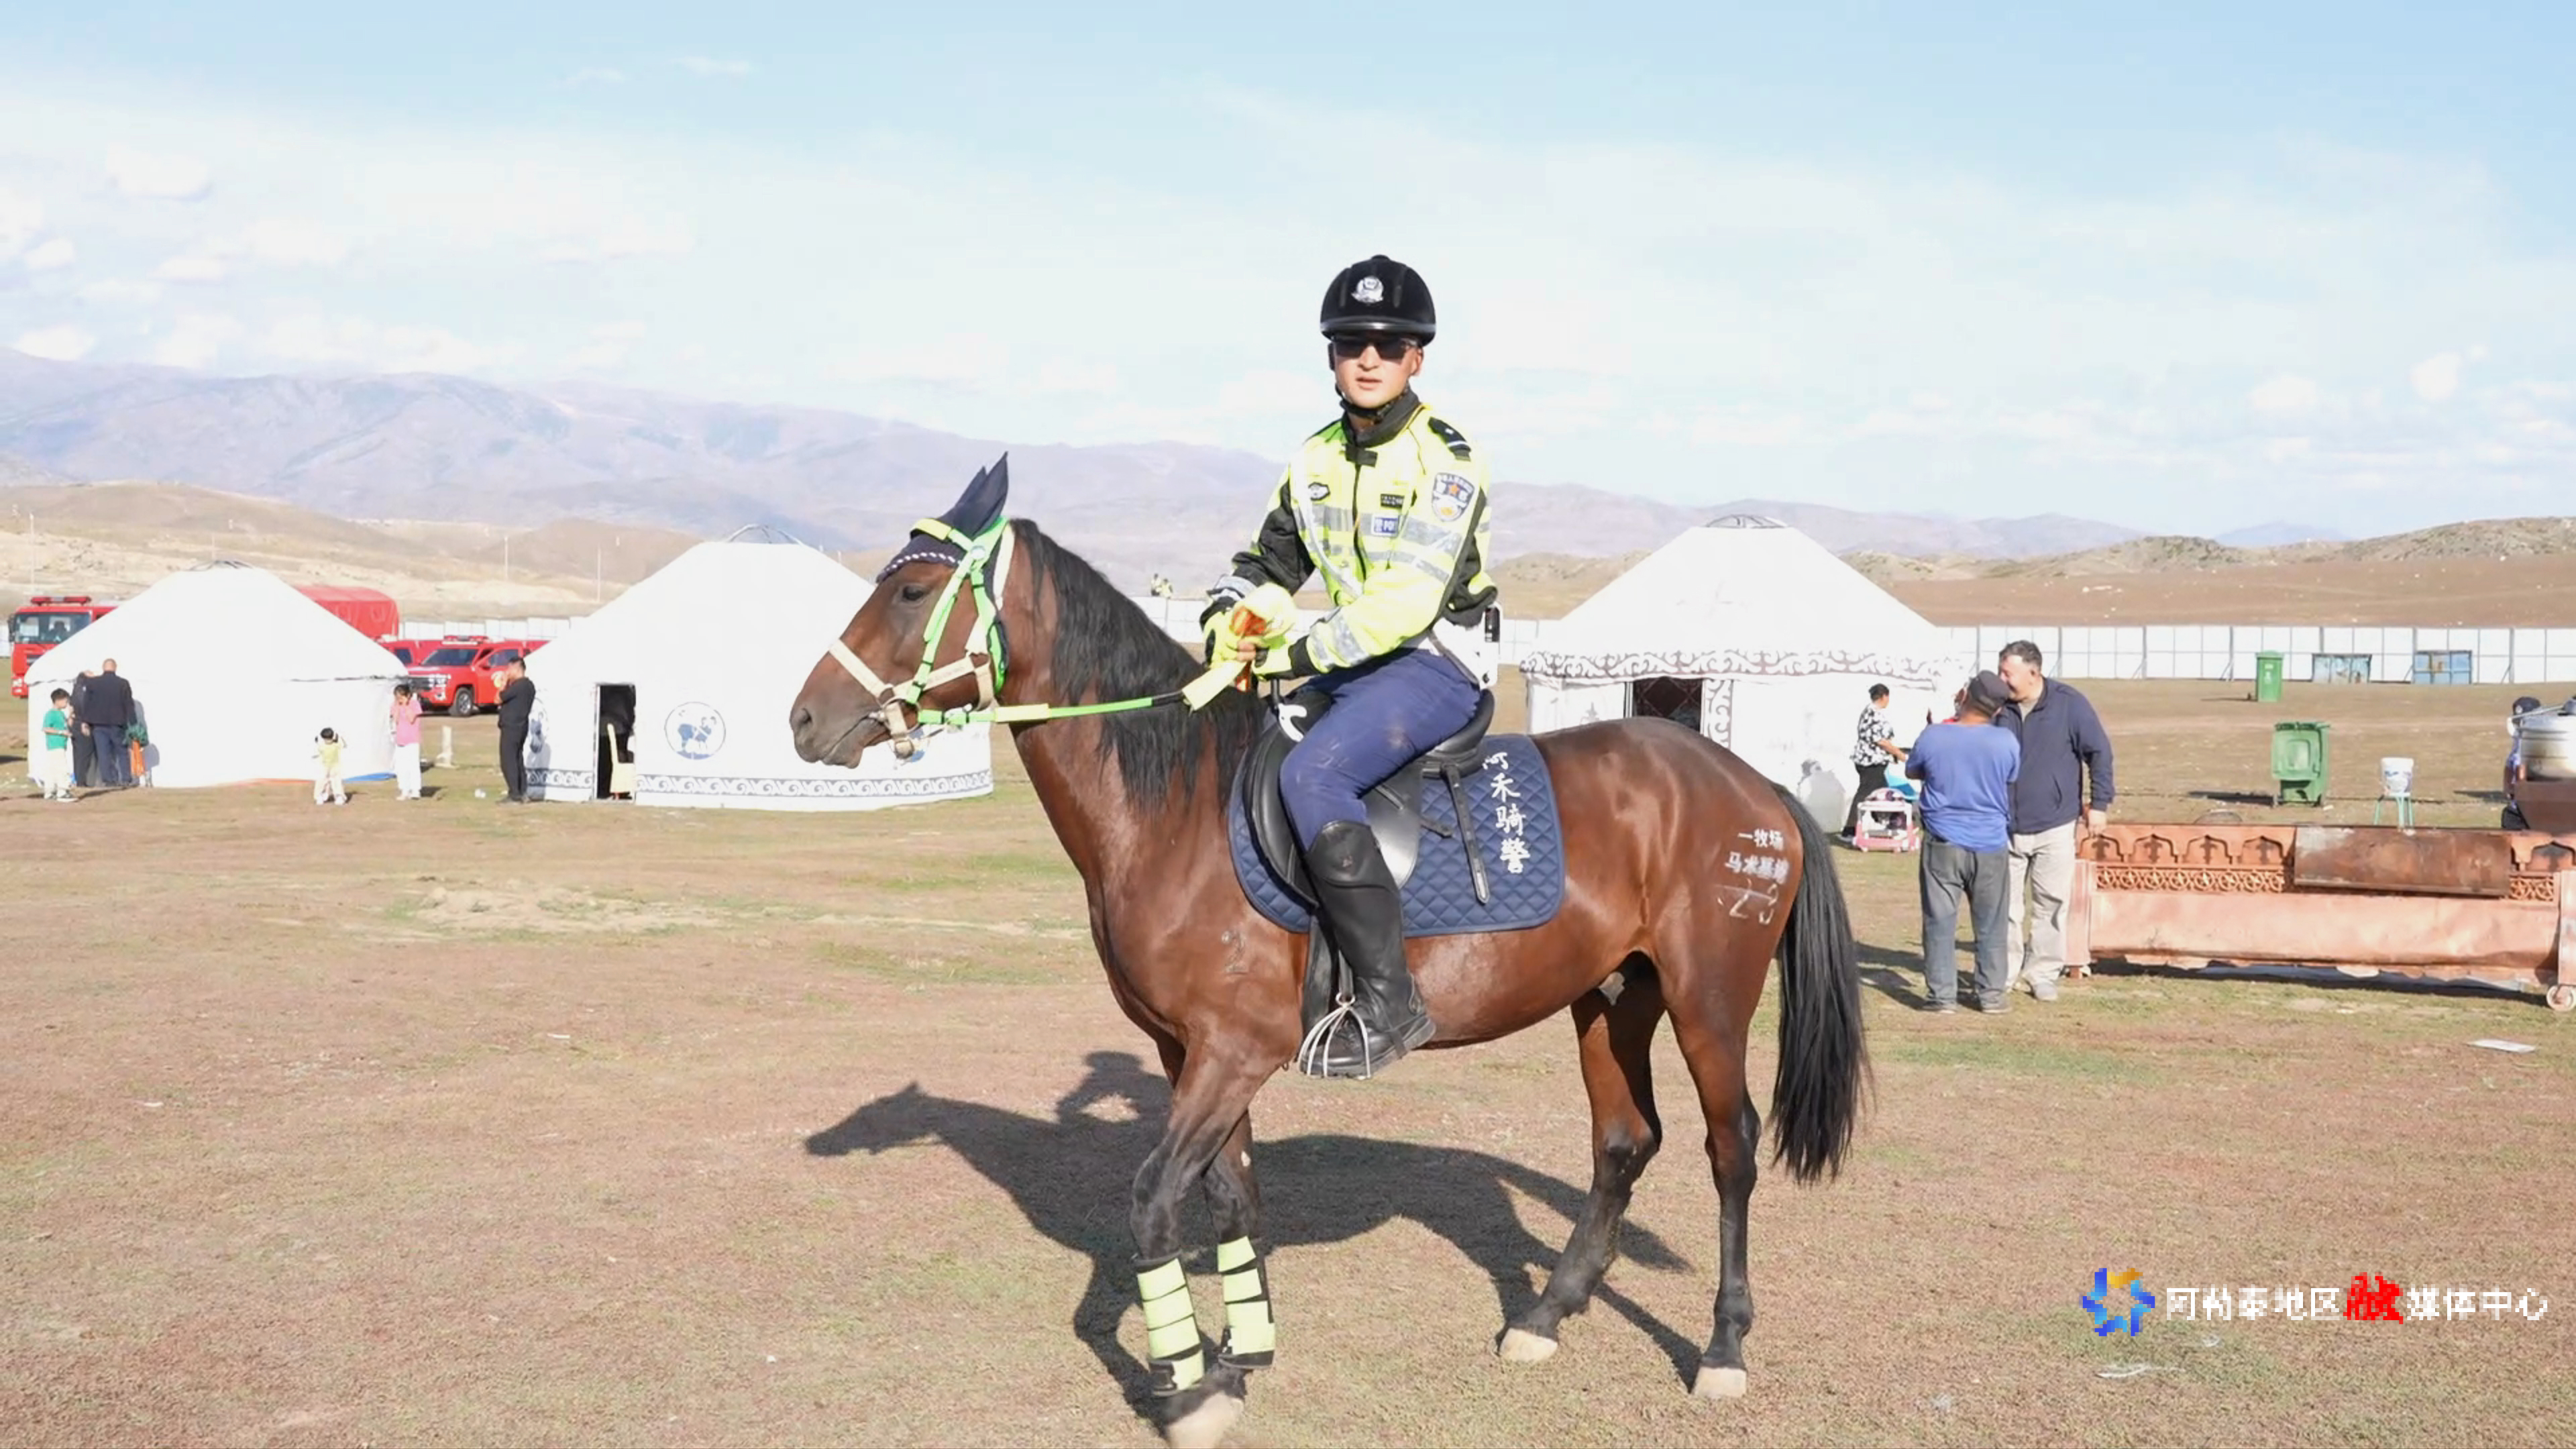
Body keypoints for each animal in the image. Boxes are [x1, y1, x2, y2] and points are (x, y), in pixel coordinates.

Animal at [789, 458, 1870, 1449]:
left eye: (911, 593)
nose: (802, 720)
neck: (1179, 811)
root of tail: (1750, 781)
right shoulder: (1191, 1053)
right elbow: (1231, 1196)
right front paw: (1240, 1358)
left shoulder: (1233, 1052)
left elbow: (1153, 1202)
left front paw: (1186, 1389)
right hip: (1612, 998)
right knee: (1622, 1144)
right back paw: (1545, 1315)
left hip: (1708, 1000)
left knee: (1731, 1151)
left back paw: (1723, 1350)